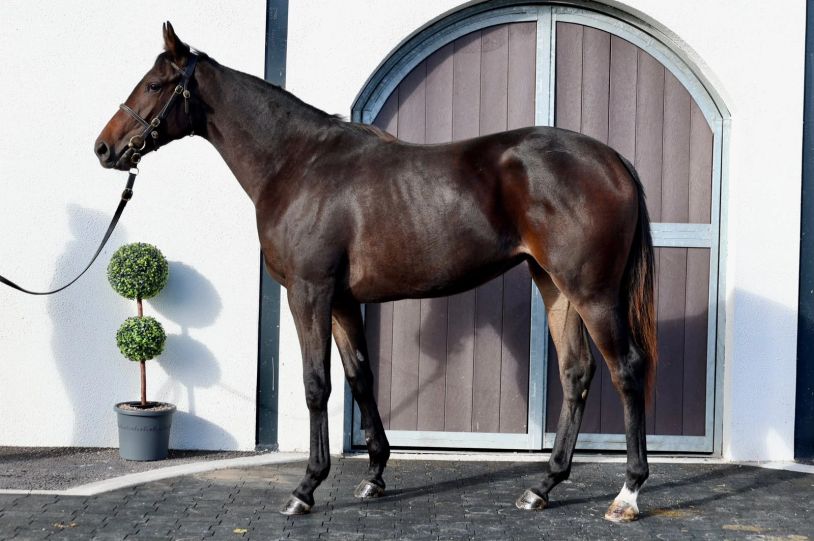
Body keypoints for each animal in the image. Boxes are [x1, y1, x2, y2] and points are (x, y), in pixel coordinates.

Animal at [95, 22, 657, 523]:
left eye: (154, 84)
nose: (104, 148)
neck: (297, 163)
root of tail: (614, 161)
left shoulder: (309, 293)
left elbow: (317, 384)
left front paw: (306, 488)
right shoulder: (342, 300)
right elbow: (359, 377)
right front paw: (374, 476)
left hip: (592, 292)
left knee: (626, 370)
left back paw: (627, 494)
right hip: (554, 285)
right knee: (576, 372)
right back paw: (542, 486)